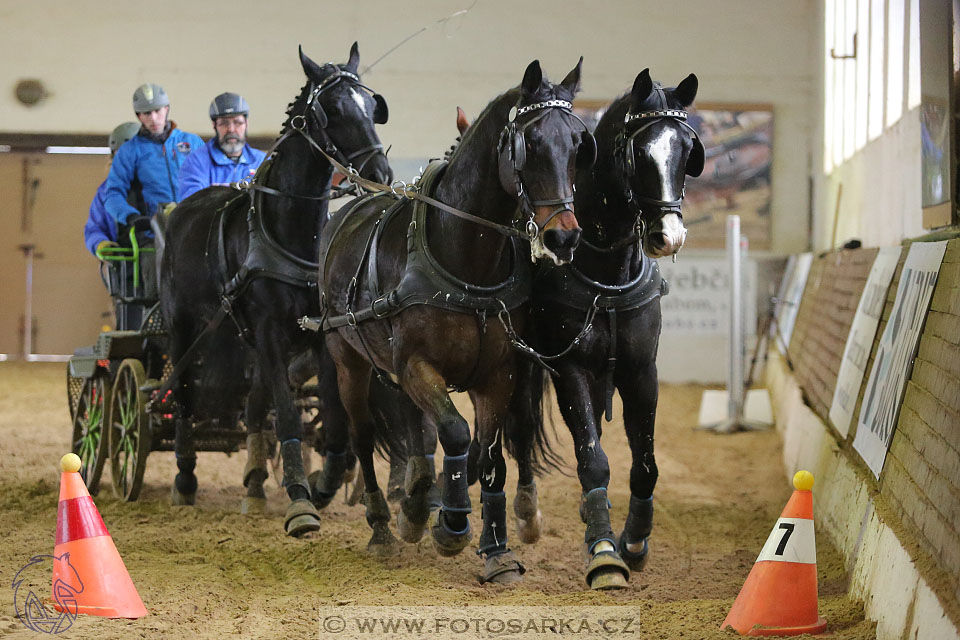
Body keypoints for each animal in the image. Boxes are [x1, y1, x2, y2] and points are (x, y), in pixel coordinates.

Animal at [159, 42, 392, 536]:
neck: (291, 232)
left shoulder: (319, 334)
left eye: (372, 107)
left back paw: (254, 484)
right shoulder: (269, 331)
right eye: (331, 110)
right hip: (185, 328)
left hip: (247, 340)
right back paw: (185, 478)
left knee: (252, 405)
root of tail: (185, 207)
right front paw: (301, 500)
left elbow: (333, 420)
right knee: (184, 395)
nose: (380, 172)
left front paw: (323, 485)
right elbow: (286, 413)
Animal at [318, 60, 596, 584]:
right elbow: (455, 433)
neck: (468, 262)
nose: (564, 238)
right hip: (350, 361)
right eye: (531, 143)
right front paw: (447, 525)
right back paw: (383, 525)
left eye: (577, 144)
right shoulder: (417, 366)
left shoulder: (498, 374)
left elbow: (486, 452)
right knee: (363, 435)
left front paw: (490, 544)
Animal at [506, 70, 700, 592]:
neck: (608, 274)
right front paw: (605, 550)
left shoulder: (641, 371)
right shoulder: (569, 367)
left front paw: (634, 539)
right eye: (639, 153)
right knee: (521, 429)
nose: (667, 236)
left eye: (687, 149)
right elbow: (592, 458)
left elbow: (646, 464)